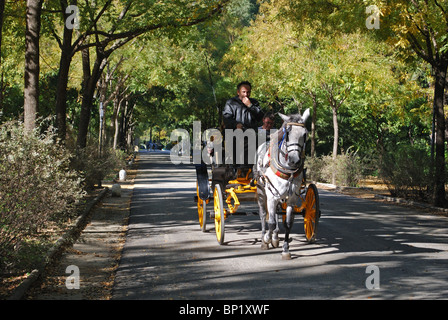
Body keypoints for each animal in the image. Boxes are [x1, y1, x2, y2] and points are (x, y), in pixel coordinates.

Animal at [254, 109, 310, 258]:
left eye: (305, 134)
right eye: (288, 133)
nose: (294, 160)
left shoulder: (291, 198)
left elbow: (288, 223)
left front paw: (285, 249)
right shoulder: (271, 196)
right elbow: (271, 222)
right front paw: (266, 238)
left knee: (277, 213)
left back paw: (275, 237)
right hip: (262, 191)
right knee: (263, 214)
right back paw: (264, 238)